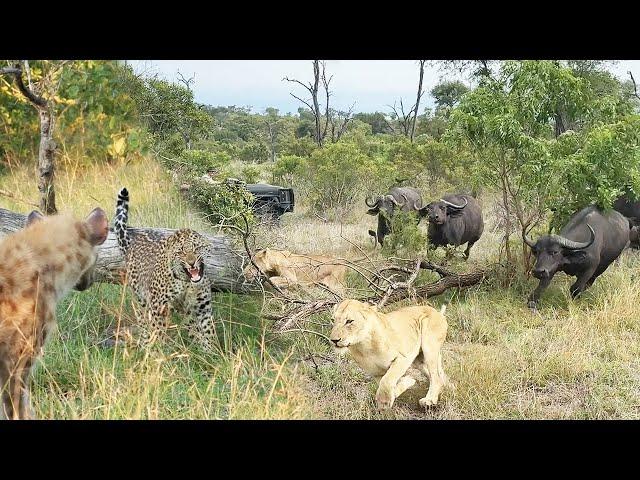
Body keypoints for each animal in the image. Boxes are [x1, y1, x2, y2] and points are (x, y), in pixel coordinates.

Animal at [114, 187, 216, 348]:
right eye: (181, 252)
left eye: (197, 248)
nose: (192, 263)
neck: (187, 283)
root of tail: (131, 243)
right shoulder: (158, 305)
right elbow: (159, 330)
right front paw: (160, 349)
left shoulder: (202, 307)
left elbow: (208, 331)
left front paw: (212, 350)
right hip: (140, 298)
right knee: (143, 320)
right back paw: (145, 343)